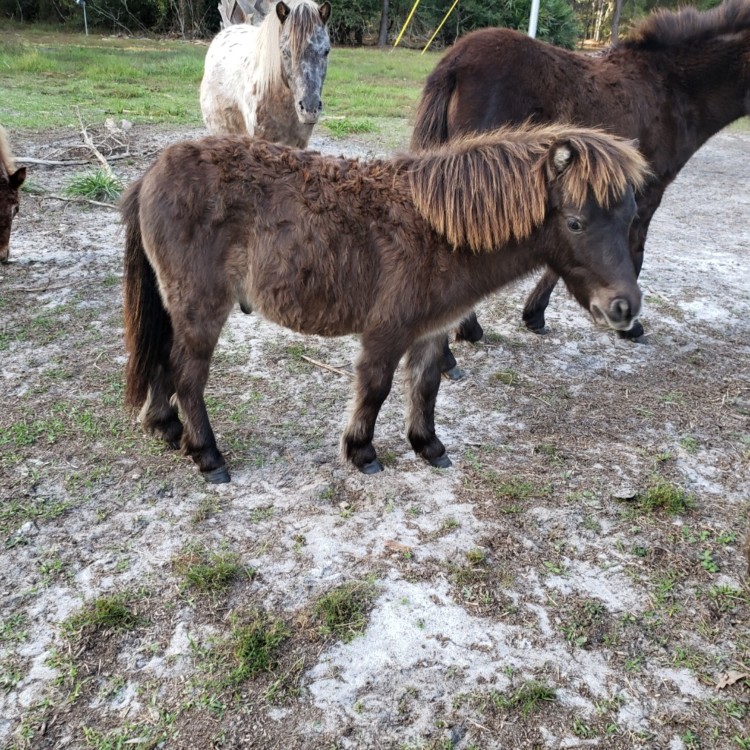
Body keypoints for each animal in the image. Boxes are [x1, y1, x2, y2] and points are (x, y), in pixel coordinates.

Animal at [121, 124, 649, 483]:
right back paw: (208, 456)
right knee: (188, 373)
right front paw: (362, 452)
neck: (438, 231)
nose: (625, 308)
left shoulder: (434, 329)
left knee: (164, 361)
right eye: (576, 222)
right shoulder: (387, 331)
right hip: (202, 307)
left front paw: (429, 446)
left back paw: (167, 429)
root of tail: (153, 170)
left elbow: (426, 387)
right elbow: (375, 387)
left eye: (630, 217)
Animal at [411, 0, 750, 347]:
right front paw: (629, 327)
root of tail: (456, 60)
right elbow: (632, 253)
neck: (670, 87)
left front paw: (534, 314)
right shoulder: (646, 195)